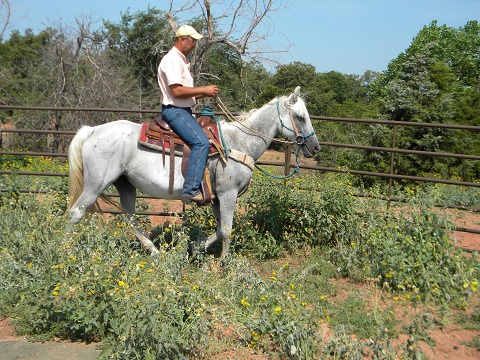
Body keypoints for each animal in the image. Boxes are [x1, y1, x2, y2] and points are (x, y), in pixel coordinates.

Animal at [67, 86, 320, 258]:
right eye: (300, 117)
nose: (315, 147)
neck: (240, 142)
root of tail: (93, 130)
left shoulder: (217, 198)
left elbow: (218, 230)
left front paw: (194, 249)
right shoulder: (228, 194)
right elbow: (226, 230)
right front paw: (224, 263)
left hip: (125, 184)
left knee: (130, 218)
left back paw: (154, 251)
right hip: (95, 184)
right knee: (76, 213)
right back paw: (65, 250)